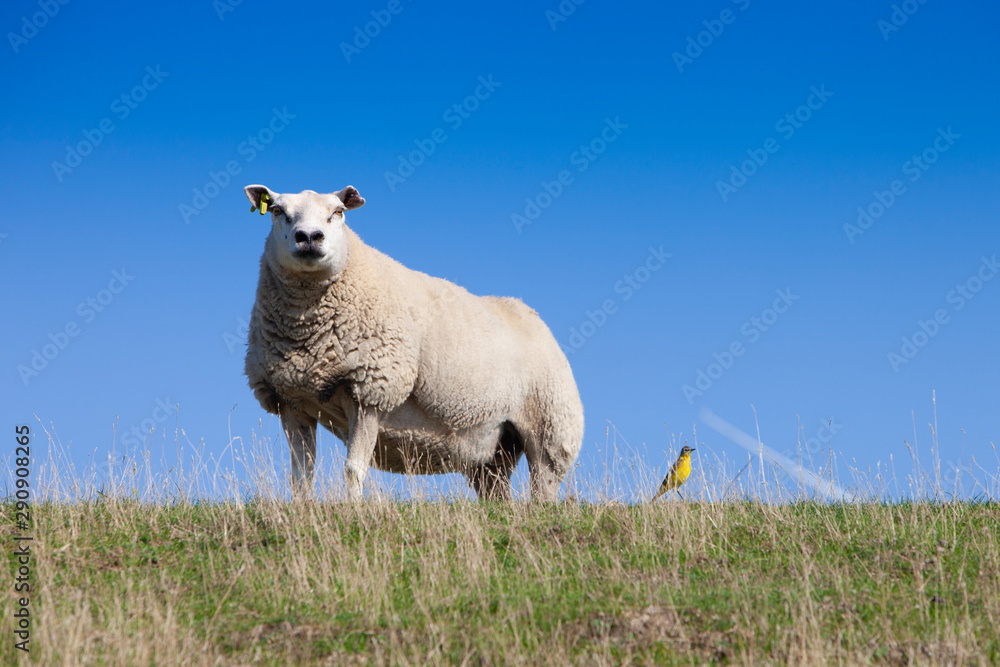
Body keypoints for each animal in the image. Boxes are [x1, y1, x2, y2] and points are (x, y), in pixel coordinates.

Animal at [242, 184, 584, 501]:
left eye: (338, 212)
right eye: (277, 211)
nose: (310, 237)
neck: (307, 338)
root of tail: (528, 311)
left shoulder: (370, 391)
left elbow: (353, 469)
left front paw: (352, 510)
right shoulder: (290, 400)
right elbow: (301, 474)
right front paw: (302, 508)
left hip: (550, 428)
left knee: (543, 485)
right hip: (493, 449)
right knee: (496, 492)